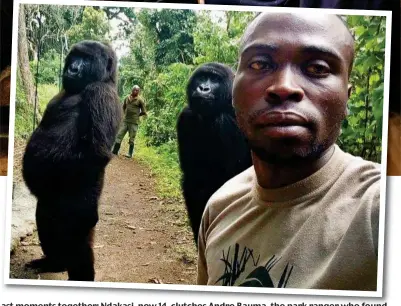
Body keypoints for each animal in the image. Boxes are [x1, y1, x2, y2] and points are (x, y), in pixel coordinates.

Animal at [21, 40, 121, 282]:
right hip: (49, 205)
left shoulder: (100, 93)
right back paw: (54, 262)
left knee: (78, 240)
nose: (73, 68)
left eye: (86, 59)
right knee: (46, 218)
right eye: (74, 57)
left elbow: (95, 152)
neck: (106, 79)